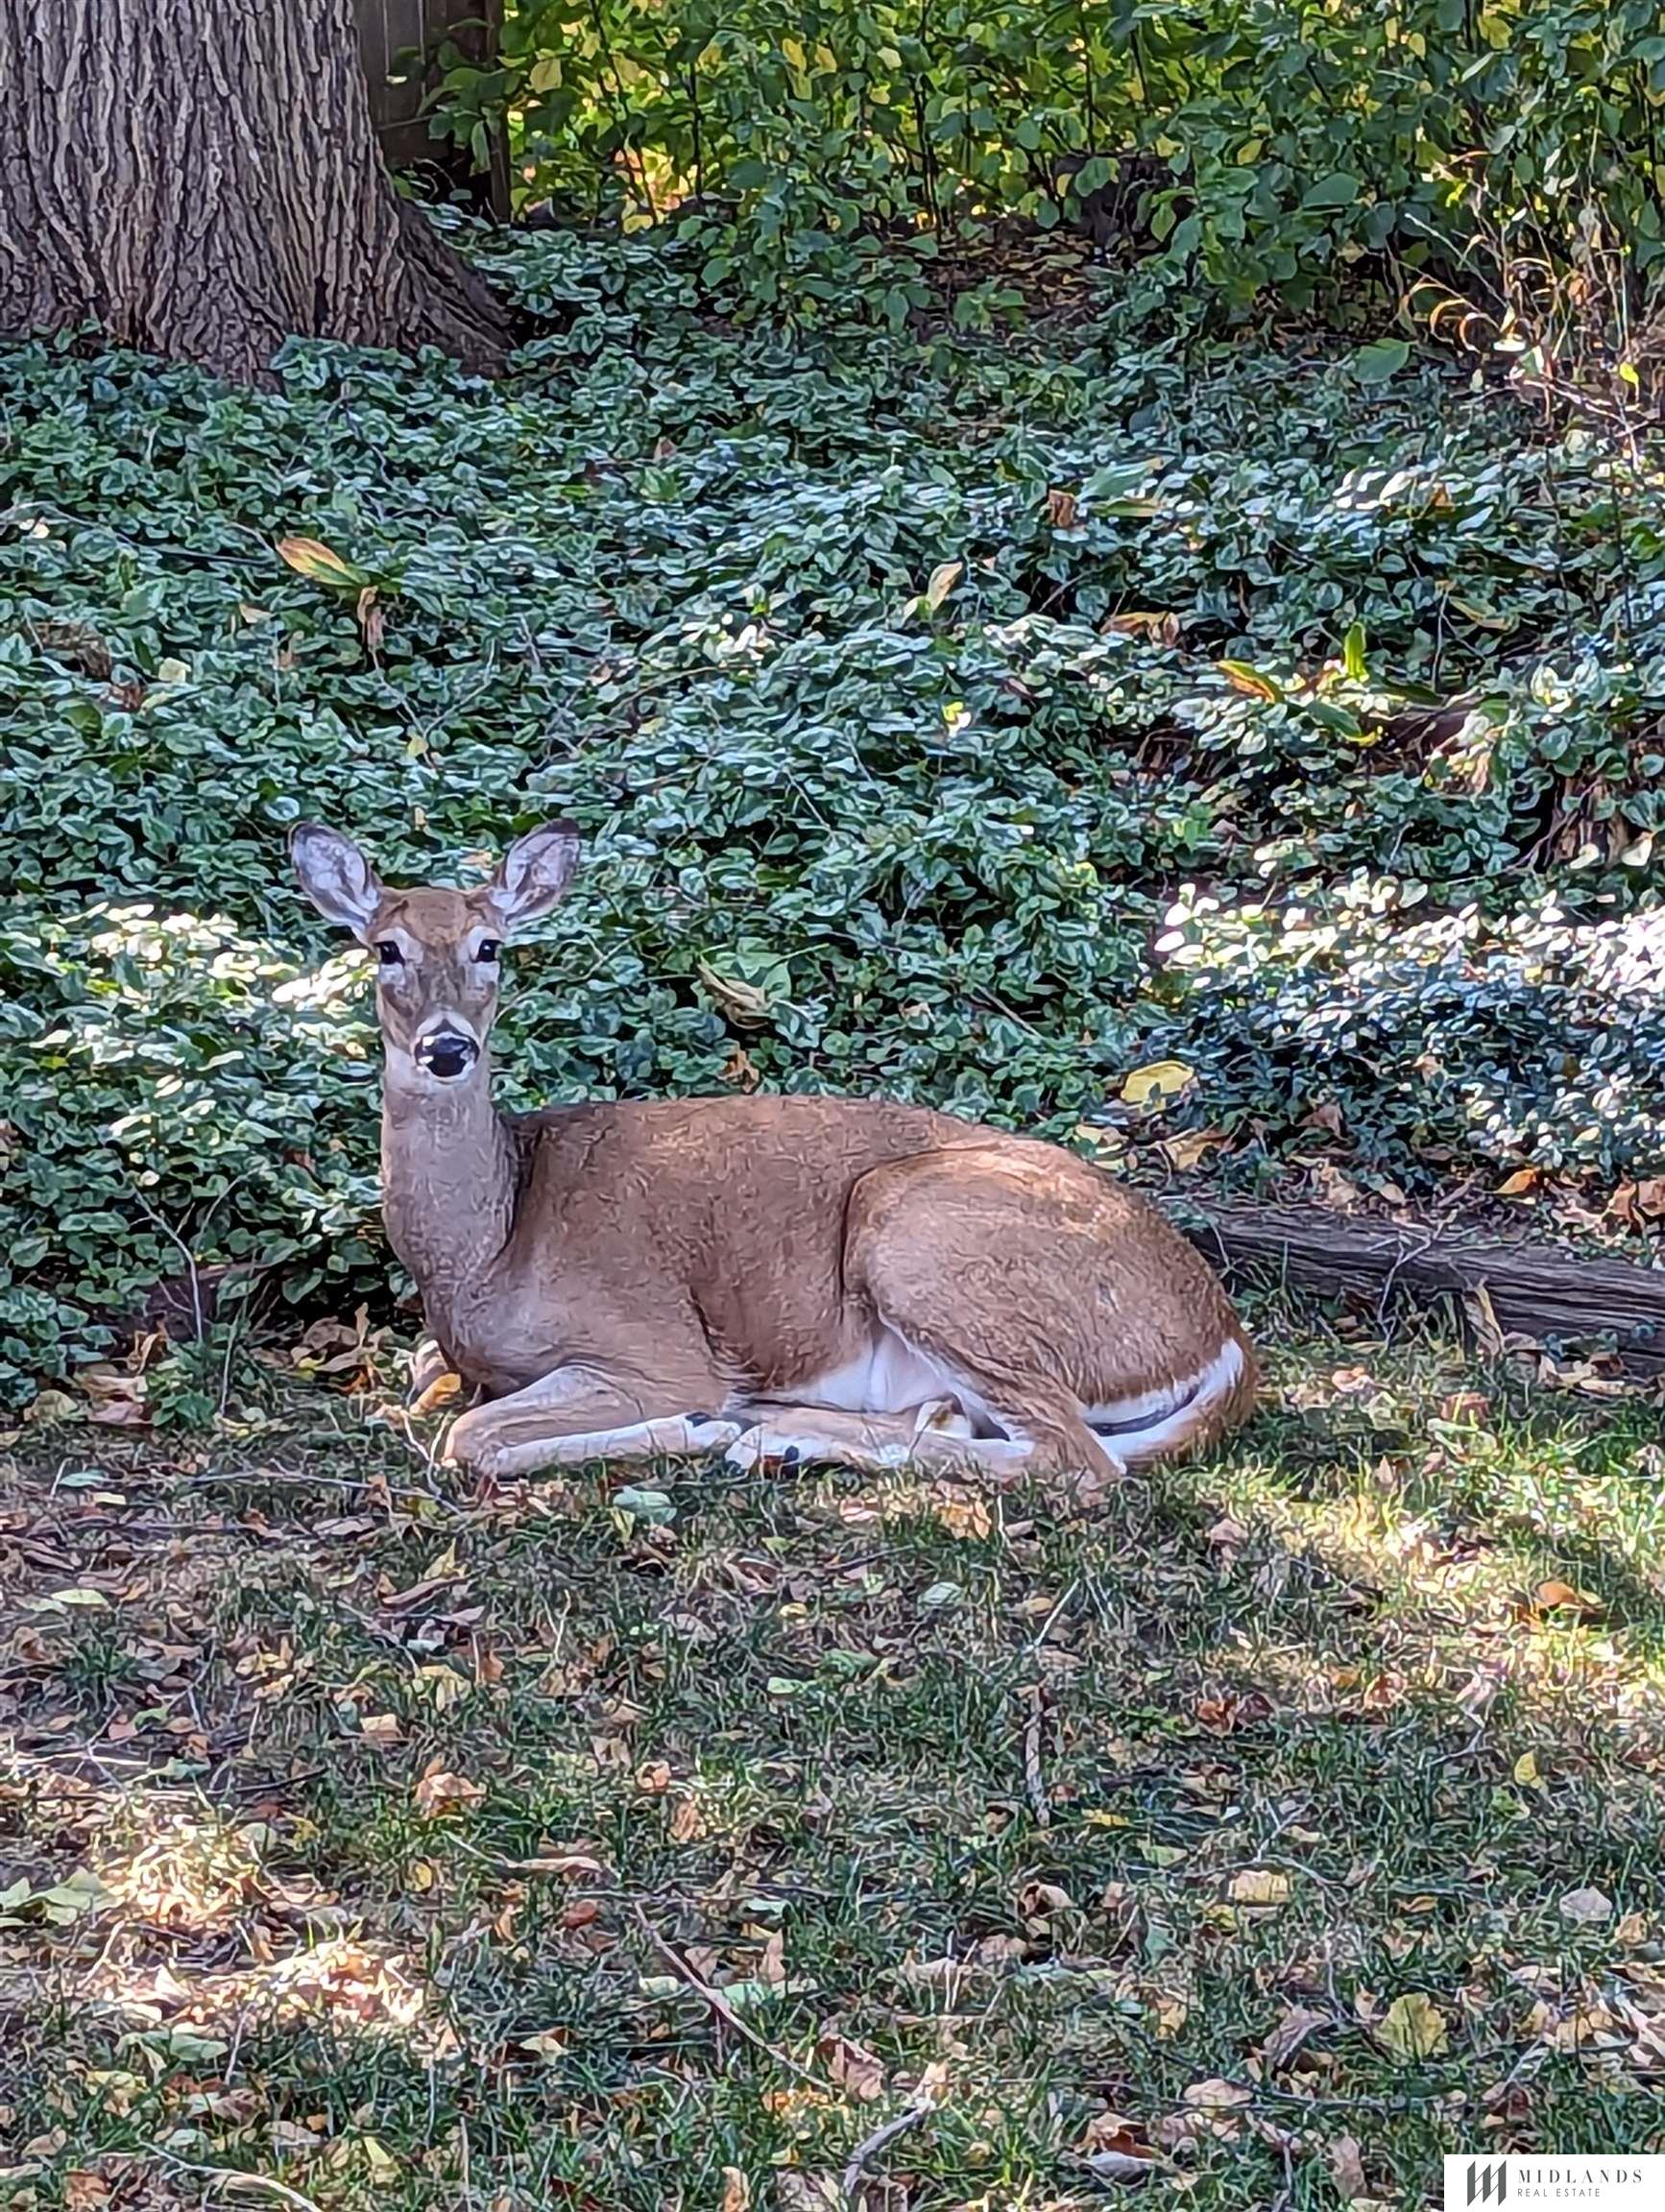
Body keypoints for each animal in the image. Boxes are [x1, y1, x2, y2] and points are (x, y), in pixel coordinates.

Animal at [291, 818, 1255, 1503]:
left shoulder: (652, 1344)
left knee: (1076, 1459)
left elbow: (471, 1439)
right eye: (384, 949)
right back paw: (790, 1432)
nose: (446, 1048)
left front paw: (700, 1426)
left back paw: (764, 1434)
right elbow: (430, 1387)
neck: (487, 1251)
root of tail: (1225, 1337)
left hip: (920, 1236)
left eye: (491, 947)